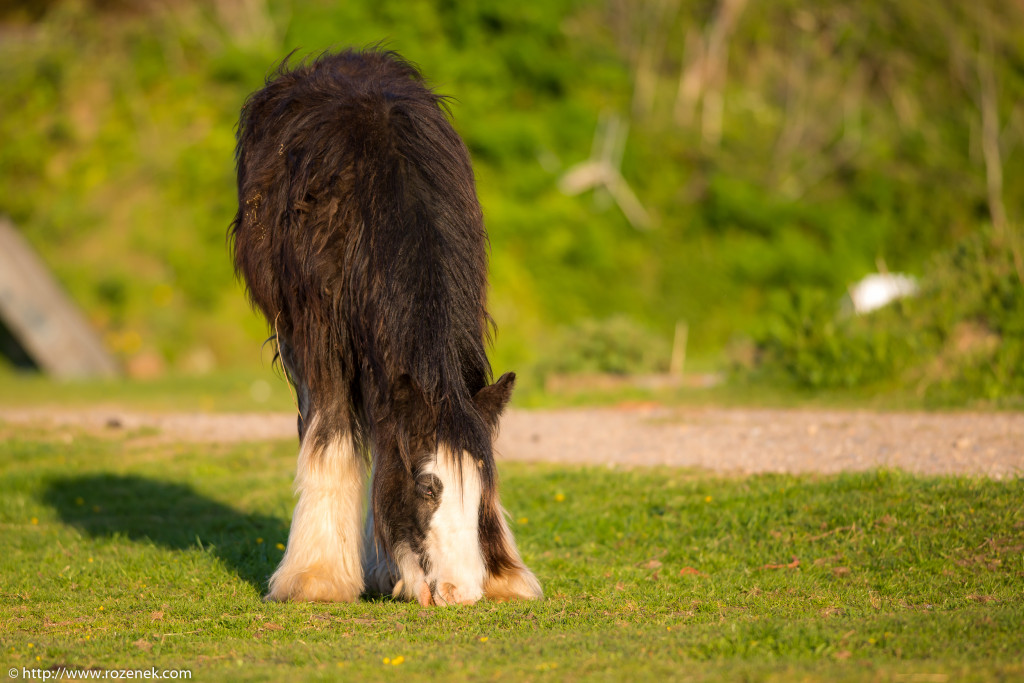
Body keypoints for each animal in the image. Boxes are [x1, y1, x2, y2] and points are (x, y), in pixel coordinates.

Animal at [227, 48, 540, 606]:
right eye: (426, 486)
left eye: (481, 484)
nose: (461, 591)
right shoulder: (316, 334)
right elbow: (331, 434)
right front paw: (317, 577)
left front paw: (502, 572)